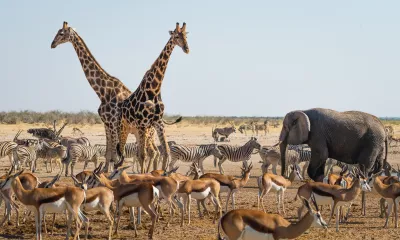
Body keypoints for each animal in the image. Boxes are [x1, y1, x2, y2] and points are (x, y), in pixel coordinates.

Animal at [50, 21, 181, 172]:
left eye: (61, 33)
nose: (52, 44)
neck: (103, 91)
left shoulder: (112, 123)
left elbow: (114, 154)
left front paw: (109, 172)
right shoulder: (106, 124)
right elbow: (109, 153)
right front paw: (106, 171)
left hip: (146, 132)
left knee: (152, 152)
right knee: (152, 152)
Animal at [116, 22, 190, 172]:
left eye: (186, 35)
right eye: (176, 36)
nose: (186, 49)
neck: (155, 89)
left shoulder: (158, 122)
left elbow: (165, 152)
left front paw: (161, 173)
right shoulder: (142, 123)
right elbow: (143, 155)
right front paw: (143, 175)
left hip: (137, 131)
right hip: (124, 129)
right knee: (121, 153)